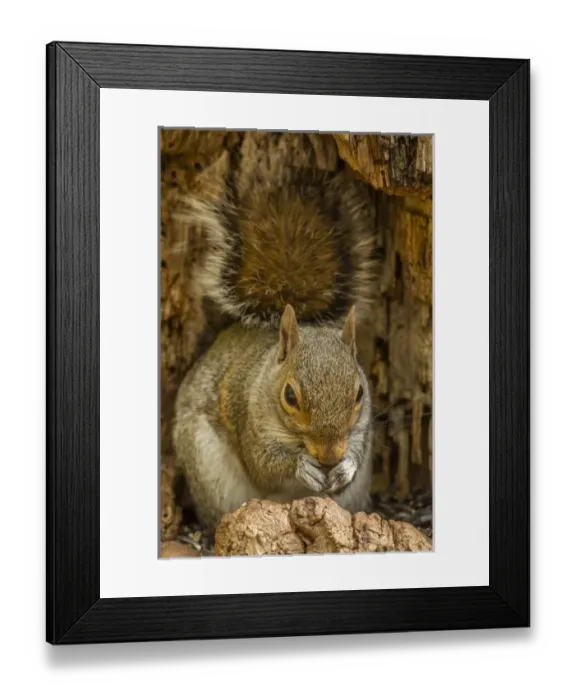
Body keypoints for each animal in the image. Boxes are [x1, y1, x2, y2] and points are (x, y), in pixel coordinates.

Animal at [172, 158, 377, 530]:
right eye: (290, 396)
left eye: (358, 393)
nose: (330, 455)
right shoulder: (246, 418)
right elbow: (263, 467)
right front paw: (301, 466)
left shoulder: (362, 428)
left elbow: (355, 453)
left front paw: (345, 467)